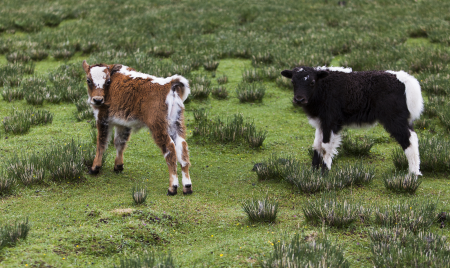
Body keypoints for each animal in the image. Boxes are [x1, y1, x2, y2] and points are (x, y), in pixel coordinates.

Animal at [82, 60, 192, 195]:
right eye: (88, 80)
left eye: (107, 81)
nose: (97, 100)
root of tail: (168, 84)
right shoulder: (122, 124)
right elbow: (119, 142)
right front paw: (118, 166)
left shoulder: (102, 119)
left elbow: (101, 143)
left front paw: (94, 168)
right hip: (176, 125)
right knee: (182, 148)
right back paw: (187, 186)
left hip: (158, 127)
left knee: (170, 149)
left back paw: (172, 187)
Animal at [284, 66, 424, 176]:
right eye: (293, 82)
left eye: (312, 82)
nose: (299, 99)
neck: (323, 88)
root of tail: (407, 80)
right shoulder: (321, 122)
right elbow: (317, 145)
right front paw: (312, 173)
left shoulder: (331, 121)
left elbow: (326, 145)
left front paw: (324, 173)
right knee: (412, 137)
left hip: (394, 119)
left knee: (408, 139)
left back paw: (412, 174)